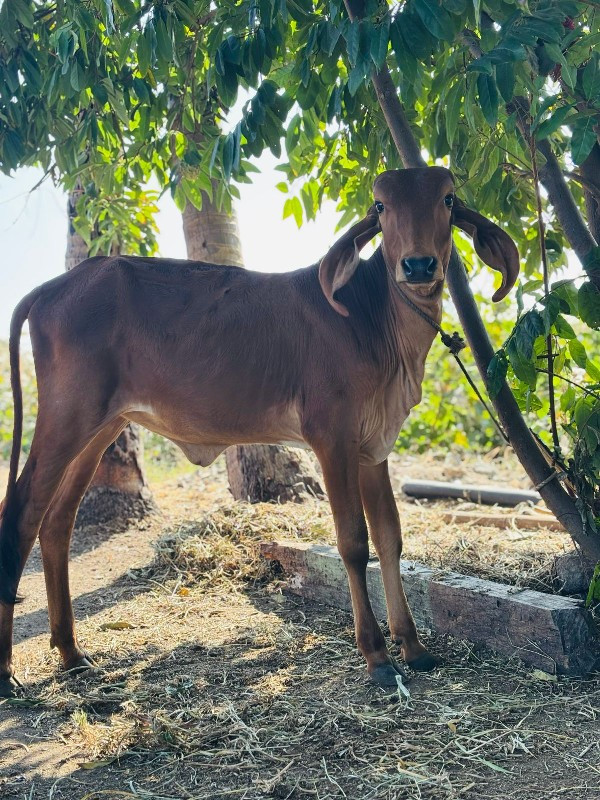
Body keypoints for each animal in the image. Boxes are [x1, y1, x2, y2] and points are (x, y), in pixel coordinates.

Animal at [0, 167, 516, 692]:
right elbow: (353, 542)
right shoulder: (332, 439)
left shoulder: (374, 448)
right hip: (68, 417)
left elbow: (390, 537)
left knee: (57, 523)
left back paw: (70, 651)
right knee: (20, 515)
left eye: (448, 199)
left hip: (102, 426)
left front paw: (412, 646)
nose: (418, 265)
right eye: (381, 206)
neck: (372, 319)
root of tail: (51, 288)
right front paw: (376, 655)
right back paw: (7, 672)